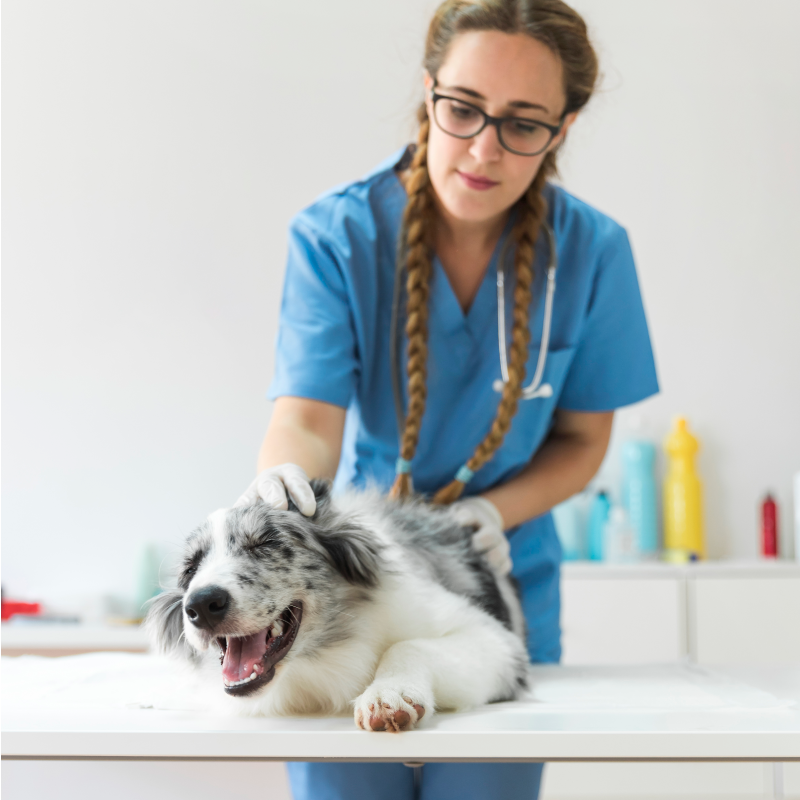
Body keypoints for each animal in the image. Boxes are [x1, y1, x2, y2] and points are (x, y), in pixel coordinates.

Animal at [147, 482, 532, 732]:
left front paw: (388, 694)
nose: (201, 604)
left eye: (265, 543)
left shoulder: (496, 641)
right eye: (191, 567)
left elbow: (408, 645)